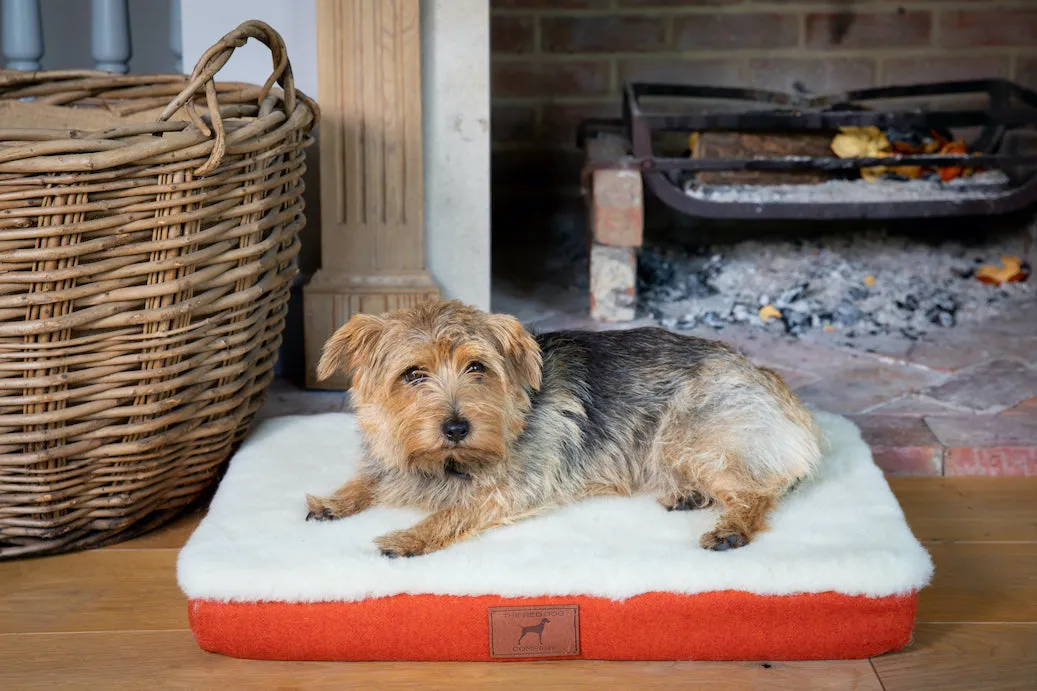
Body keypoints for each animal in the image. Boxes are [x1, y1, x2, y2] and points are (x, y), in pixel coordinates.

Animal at [302, 298, 821, 556]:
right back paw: (689, 495)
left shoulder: (510, 490)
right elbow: (367, 478)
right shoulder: (392, 461)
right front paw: (333, 500)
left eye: (477, 367)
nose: (456, 427)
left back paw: (731, 528)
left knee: (756, 490)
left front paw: (409, 538)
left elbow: (453, 512)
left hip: (689, 435)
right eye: (412, 374)